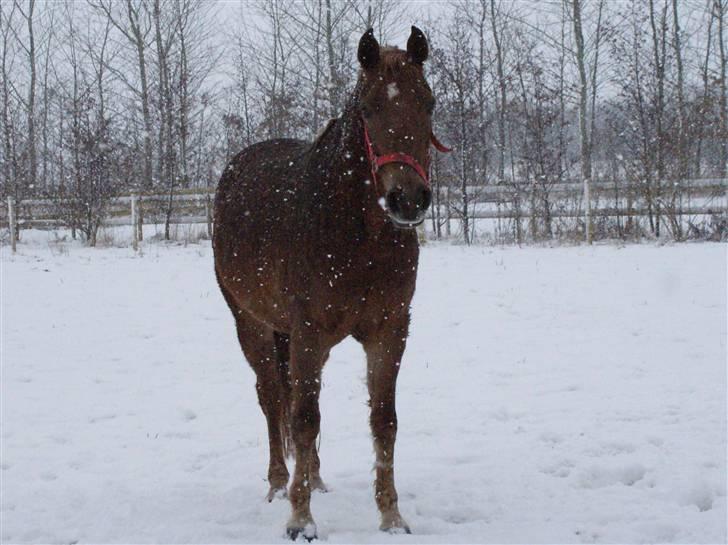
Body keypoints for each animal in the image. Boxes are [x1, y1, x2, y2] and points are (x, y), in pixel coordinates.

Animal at [213, 26, 446, 540]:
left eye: (428, 102)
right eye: (369, 108)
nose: (408, 200)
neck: (357, 235)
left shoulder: (389, 330)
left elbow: (383, 420)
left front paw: (391, 516)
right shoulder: (308, 332)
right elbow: (301, 417)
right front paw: (300, 520)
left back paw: (316, 479)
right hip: (253, 325)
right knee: (272, 399)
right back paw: (278, 484)